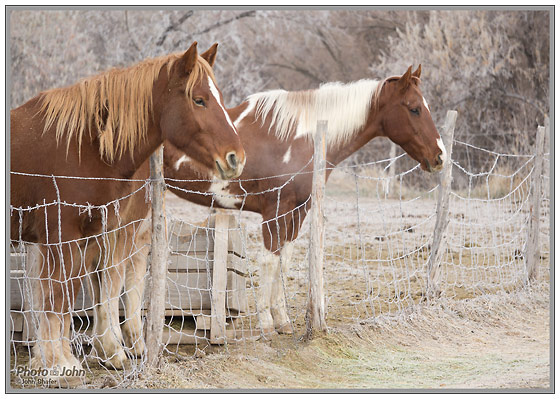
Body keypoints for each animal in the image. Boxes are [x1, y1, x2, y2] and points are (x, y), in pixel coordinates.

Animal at [9, 42, 245, 380]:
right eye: (199, 99)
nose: (236, 157)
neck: (82, 146)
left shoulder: (95, 236)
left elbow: (83, 292)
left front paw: (67, 357)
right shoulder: (66, 236)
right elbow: (61, 294)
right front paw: (59, 364)